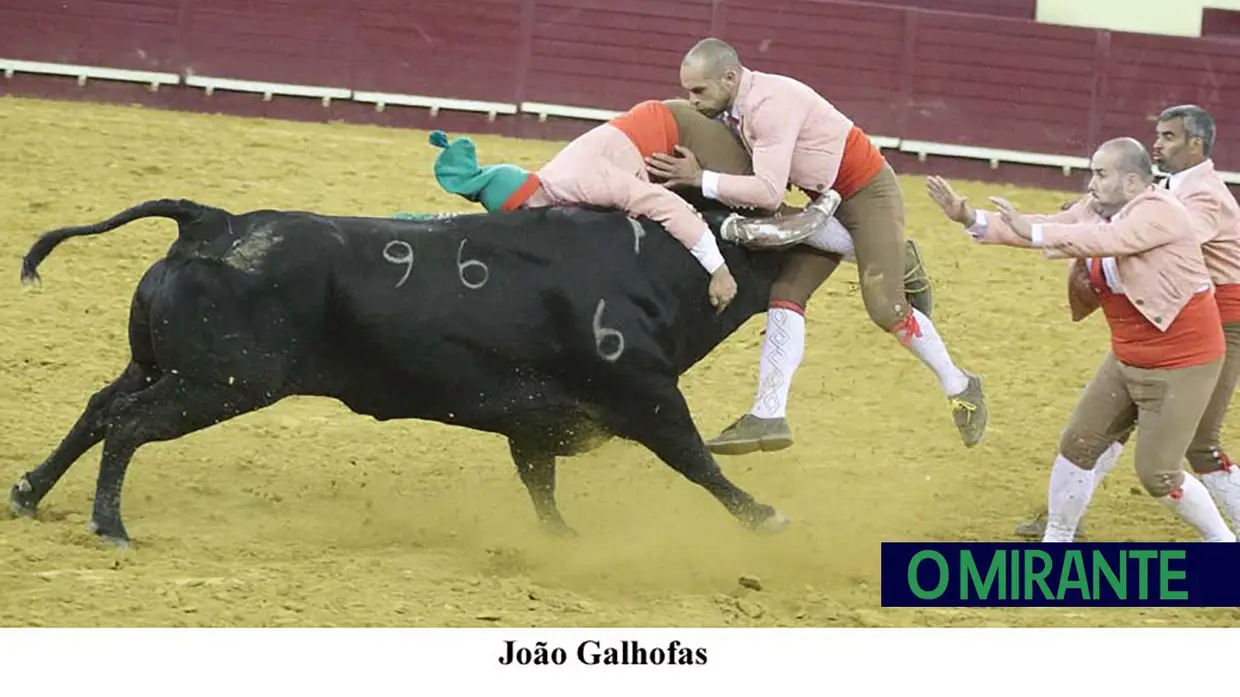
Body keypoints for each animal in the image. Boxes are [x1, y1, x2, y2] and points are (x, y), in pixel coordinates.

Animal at [9, 195, 843, 543]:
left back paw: (28, 492)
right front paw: (767, 517)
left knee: (99, 406)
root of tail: (215, 222)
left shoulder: (533, 422)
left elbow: (540, 485)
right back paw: (111, 524)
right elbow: (700, 461)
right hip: (218, 384)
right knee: (126, 423)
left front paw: (563, 538)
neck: (654, 263)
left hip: (159, 365)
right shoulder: (646, 398)